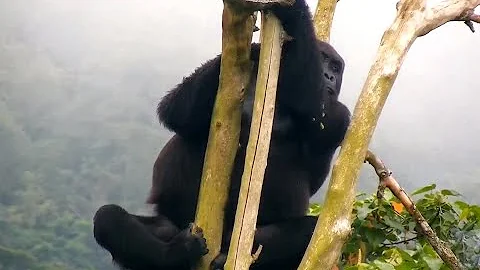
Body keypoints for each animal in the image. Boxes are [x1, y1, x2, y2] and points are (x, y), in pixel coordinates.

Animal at [93, 0, 348, 268]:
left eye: (336, 67)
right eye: (324, 60)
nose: (330, 76)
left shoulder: (339, 114)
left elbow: (316, 114)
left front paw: (294, 12)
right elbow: (175, 110)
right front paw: (254, 44)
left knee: (313, 231)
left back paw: (230, 255)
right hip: (175, 227)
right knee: (109, 218)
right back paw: (175, 254)